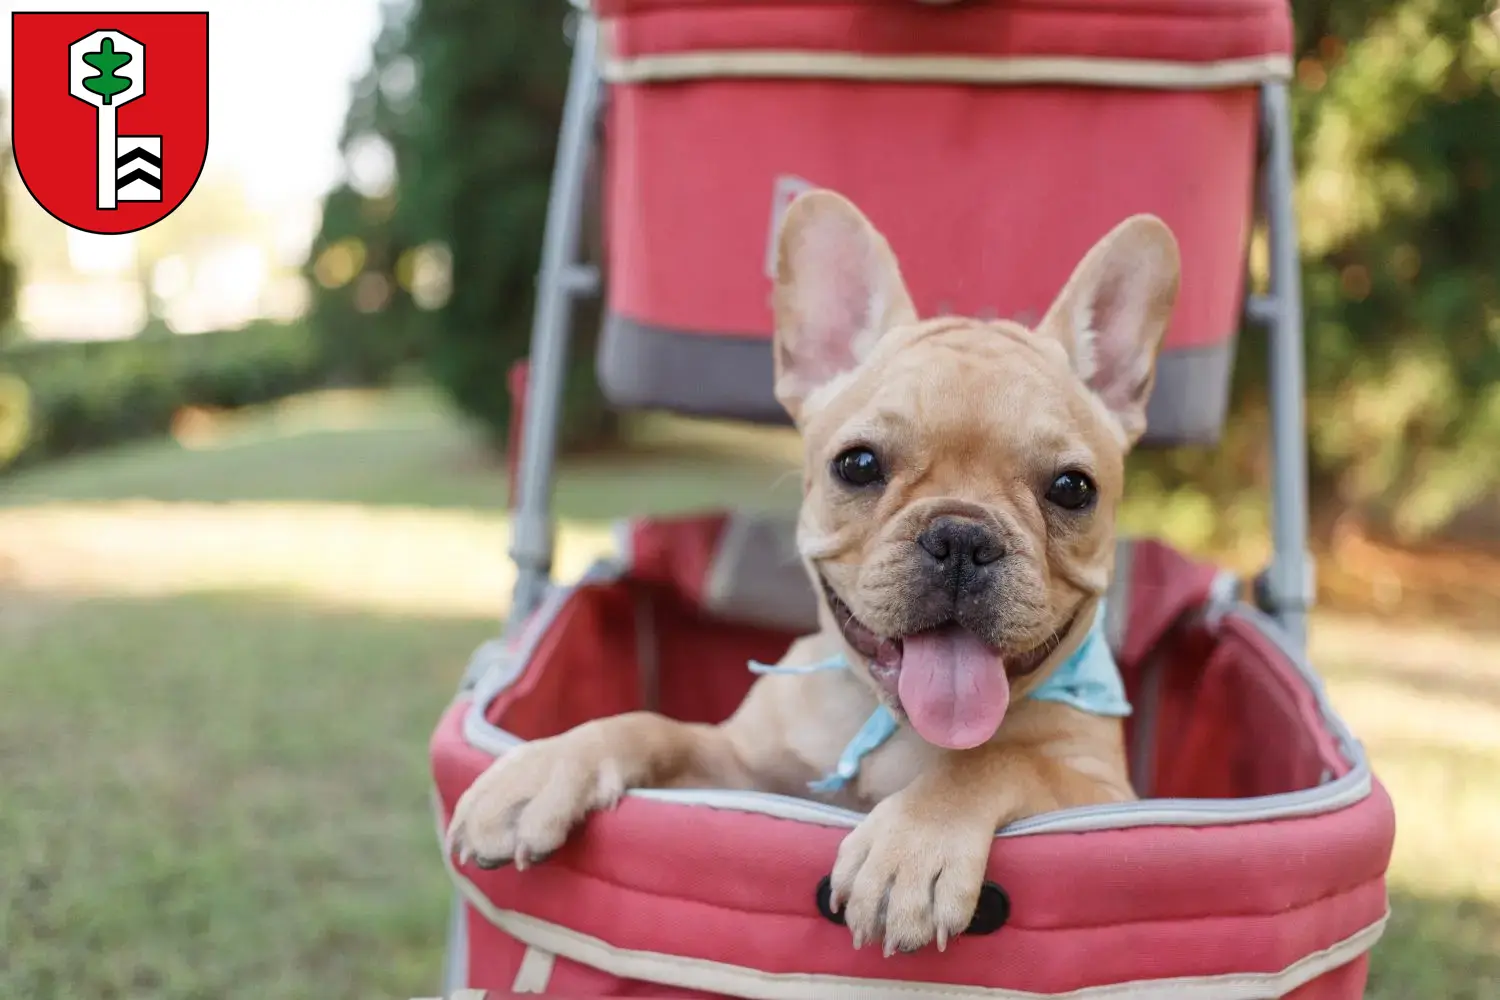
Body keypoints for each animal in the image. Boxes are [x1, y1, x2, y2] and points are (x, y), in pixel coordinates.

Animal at [444, 185, 1182, 953]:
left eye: (1072, 489)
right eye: (857, 465)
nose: (961, 535)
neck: (894, 723)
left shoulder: (1105, 794)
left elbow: (996, 760)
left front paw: (910, 848)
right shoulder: (742, 770)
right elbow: (651, 724)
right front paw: (542, 768)